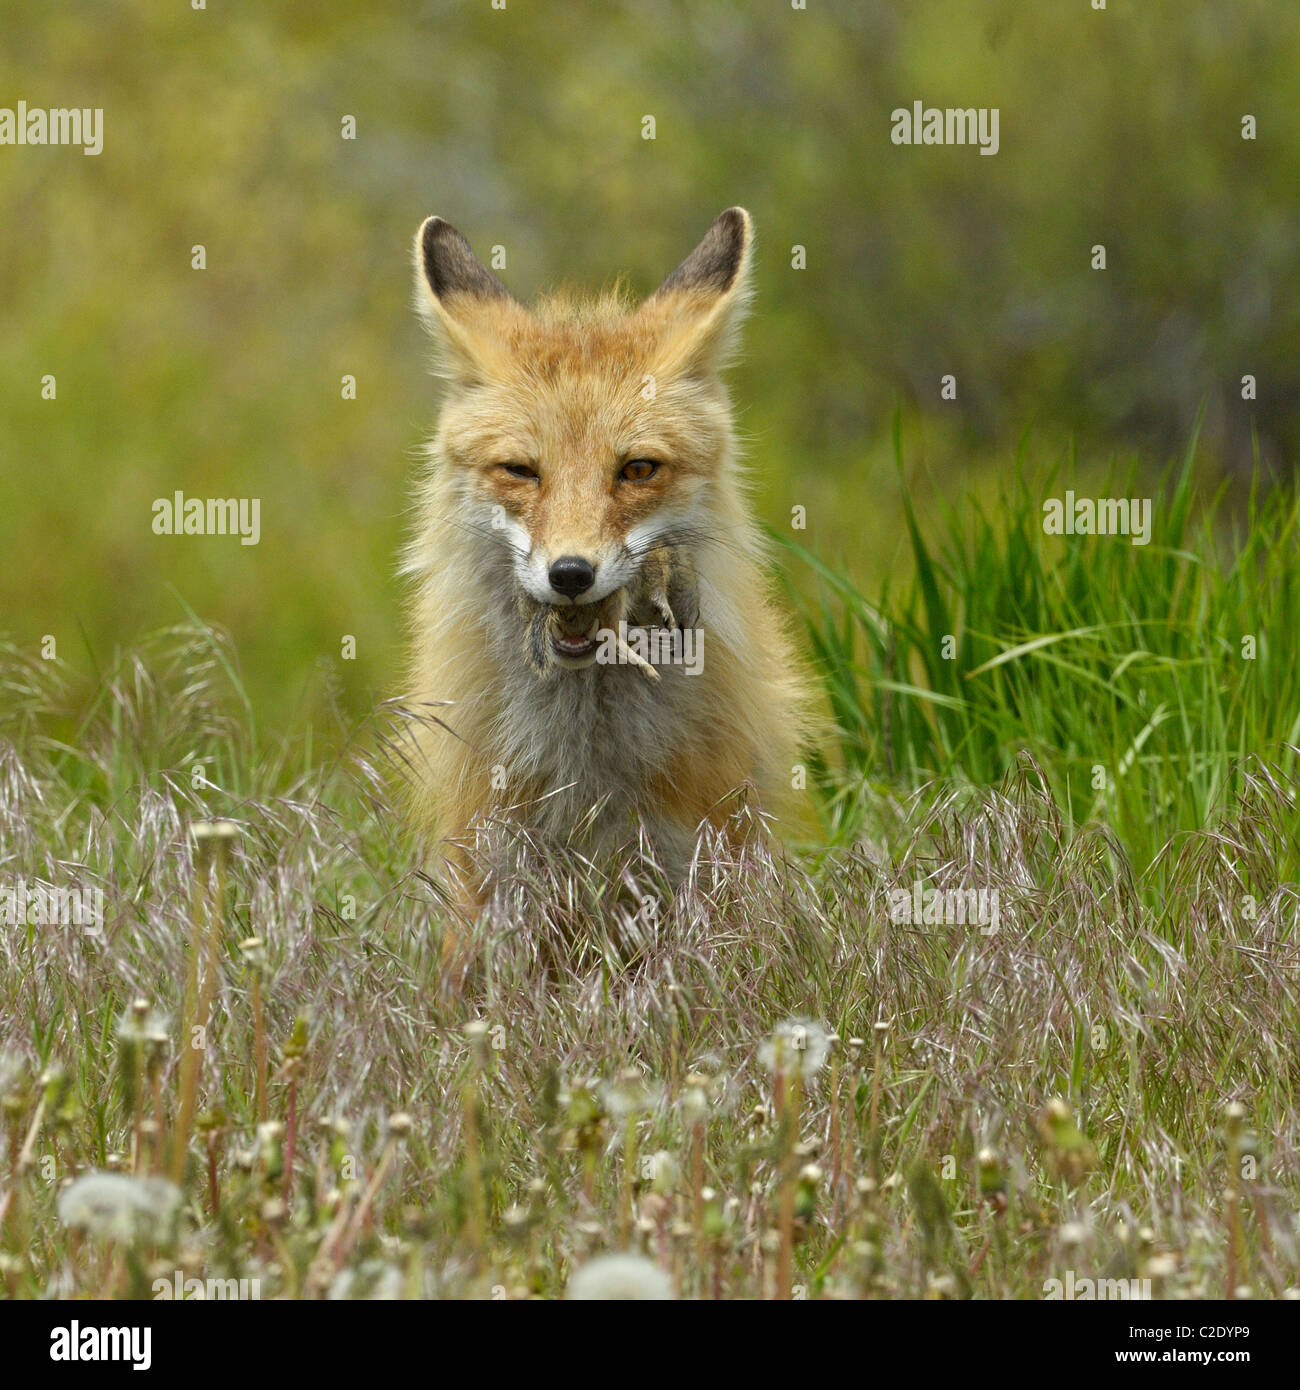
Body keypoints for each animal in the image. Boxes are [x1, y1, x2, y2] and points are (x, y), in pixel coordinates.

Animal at [402, 207, 811, 927]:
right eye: (521, 471)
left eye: (638, 469)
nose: (571, 573)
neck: (587, 763)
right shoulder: (490, 872)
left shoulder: (703, 861)